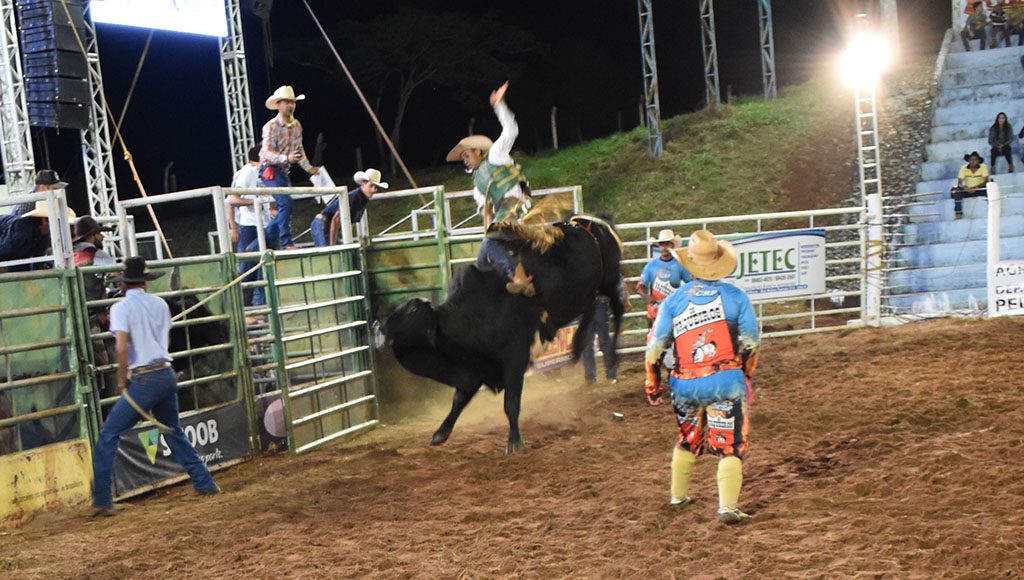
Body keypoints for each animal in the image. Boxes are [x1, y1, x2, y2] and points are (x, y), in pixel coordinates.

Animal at [384, 216, 624, 454]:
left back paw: (612, 357)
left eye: (412, 312)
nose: (382, 329)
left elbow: (511, 403)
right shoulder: (475, 369)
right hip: (590, 291)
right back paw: (577, 345)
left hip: (610, 278)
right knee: (592, 307)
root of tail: (588, 222)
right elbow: (459, 399)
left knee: (618, 308)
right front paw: (440, 433)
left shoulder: (514, 358)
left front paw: (514, 441)